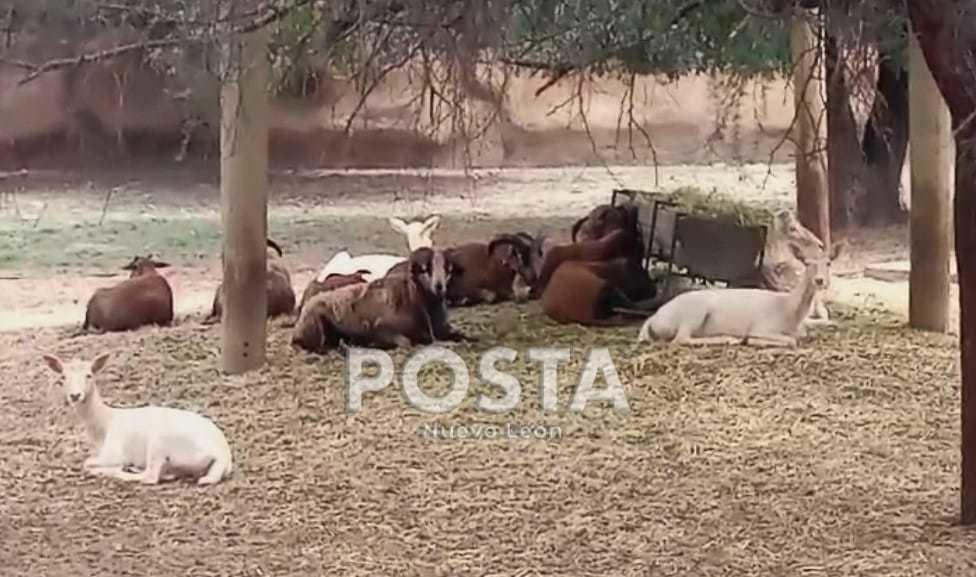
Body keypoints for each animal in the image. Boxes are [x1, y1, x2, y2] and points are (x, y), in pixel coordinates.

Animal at [292, 246, 470, 354]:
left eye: (448, 269)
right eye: (425, 269)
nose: (439, 287)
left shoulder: (443, 331)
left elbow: (463, 336)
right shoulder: (382, 329)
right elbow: (406, 342)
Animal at [640, 255, 832, 346]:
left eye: (828, 263)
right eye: (807, 263)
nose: (820, 280)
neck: (788, 309)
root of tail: (653, 319)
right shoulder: (762, 327)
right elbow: (792, 341)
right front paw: (751, 340)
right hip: (693, 313)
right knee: (680, 339)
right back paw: (730, 339)